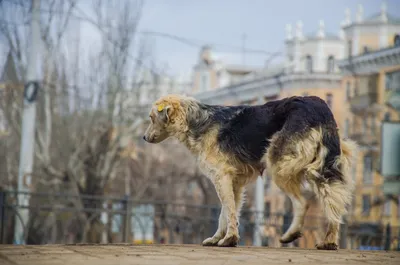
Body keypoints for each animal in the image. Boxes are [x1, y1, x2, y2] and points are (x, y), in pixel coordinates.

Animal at [144, 94, 356, 249]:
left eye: (152, 118)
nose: (144, 138)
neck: (197, 121)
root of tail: (320, 107)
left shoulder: (221, 176)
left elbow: (228, 210)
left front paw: (230, 239)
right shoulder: (234, 182)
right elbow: (226, 212)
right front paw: (218, 238)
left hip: (279, 166)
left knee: (303, 203)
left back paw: (291, 234)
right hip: (324, 168)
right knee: (333, 205)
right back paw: (329, 242)